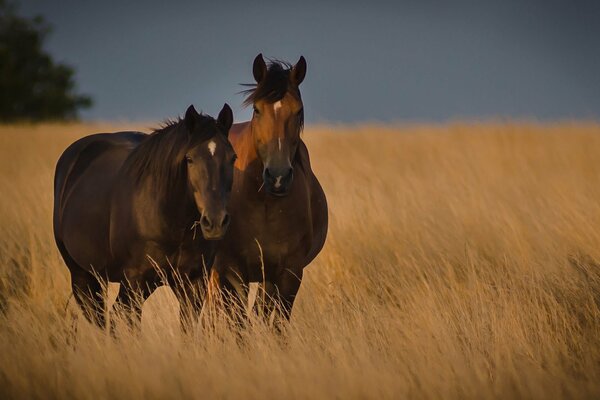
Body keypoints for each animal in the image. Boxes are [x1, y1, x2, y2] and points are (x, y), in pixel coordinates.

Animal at [53, 103, 237, 332]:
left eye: (232, 158)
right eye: (189, 159)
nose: (215, 222)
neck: (171, 222)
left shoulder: (193, 283)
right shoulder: (134, 282)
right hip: (82, 276)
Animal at [212, 54, 328, 324]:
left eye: (298, 111)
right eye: (257, 109)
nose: (277, 177)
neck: (263, 204)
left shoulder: (288, 273)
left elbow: (276, 323)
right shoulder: (233, 271)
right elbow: (238, 322)